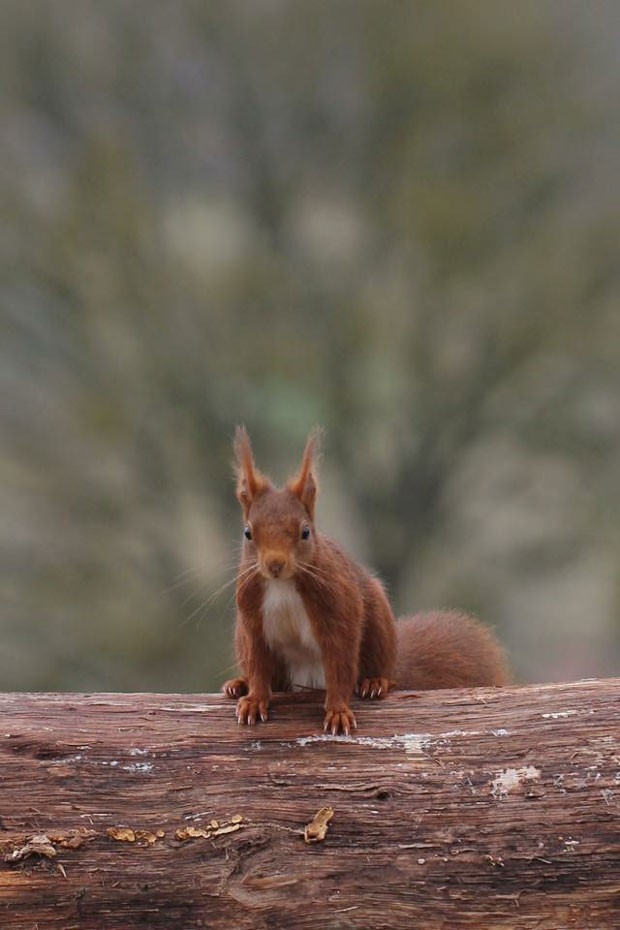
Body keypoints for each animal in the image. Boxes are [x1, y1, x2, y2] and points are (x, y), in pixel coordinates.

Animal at [223, 428, 508, 732]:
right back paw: (238, 684)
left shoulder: (337, 608)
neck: (282, 585)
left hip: (379, 624)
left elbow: (340, 663)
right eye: (247, 533)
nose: (275, 564)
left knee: (380, 671)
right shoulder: (251, 618)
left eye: (305, 532)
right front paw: (254, 700)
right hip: (242, 638)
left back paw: (375, 682)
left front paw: (338, 711)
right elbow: (258, 665)